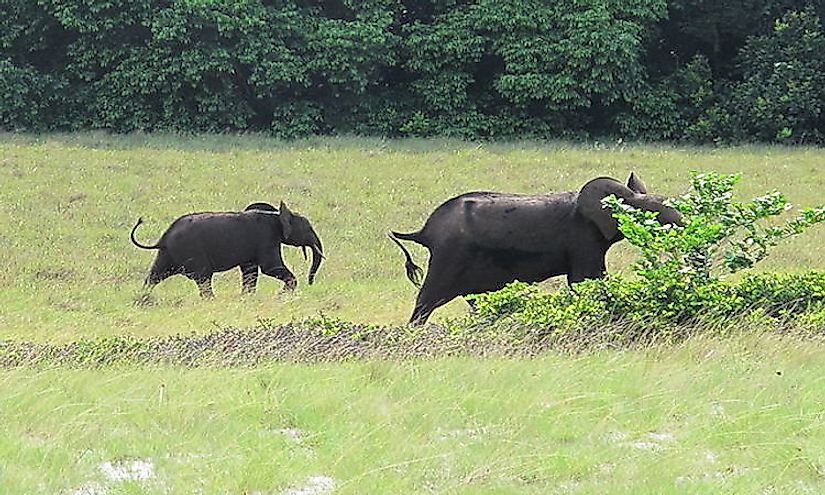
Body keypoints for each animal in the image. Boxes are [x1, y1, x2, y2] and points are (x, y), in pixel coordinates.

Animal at [130, 202, 322, 298]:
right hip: (190, 252)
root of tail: (163, 238)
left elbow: (250, 270)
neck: (276, 215)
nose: (310, 283)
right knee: (204, 277)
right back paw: (211, 300)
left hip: (169, 253)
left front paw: (247, 298)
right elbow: (270, 267)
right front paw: (282, 294)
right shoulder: (266, 239)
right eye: (307, 229)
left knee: (155, 275)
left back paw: (142, 298)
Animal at [390, 172, 680, 328]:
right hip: (450, 255)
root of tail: (424, 231)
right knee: (428, 298)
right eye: (652, 214)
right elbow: (585, 280)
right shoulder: (582, 237)